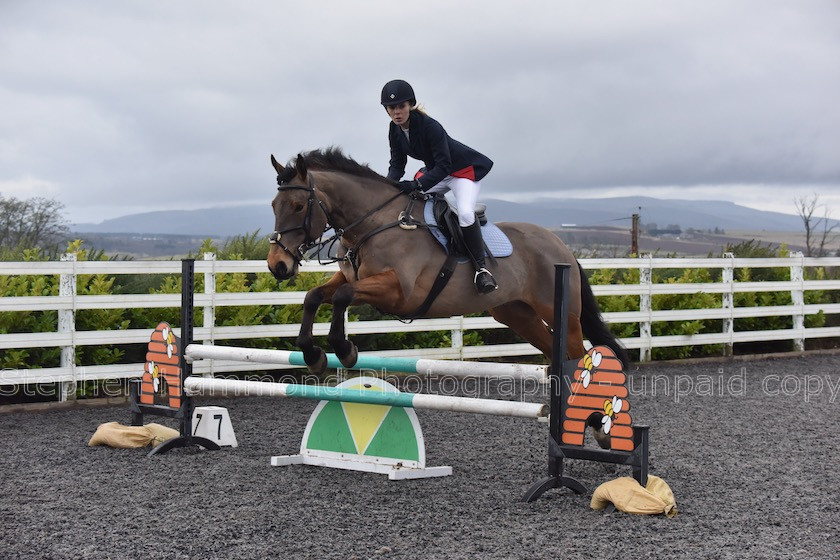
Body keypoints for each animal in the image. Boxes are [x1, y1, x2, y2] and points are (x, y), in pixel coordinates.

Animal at [266, 149, 628, 374]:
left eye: (298, 206)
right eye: (273, 205)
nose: (277, 265)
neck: (372, 224)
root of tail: (561, 246)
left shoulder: (398, 292)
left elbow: (341, 298)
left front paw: (344, 349)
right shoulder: (353, 280)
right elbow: (315, 296)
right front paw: (312, 355)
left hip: (561, 313)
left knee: (575, 354)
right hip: (515, 312)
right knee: (554, 353)